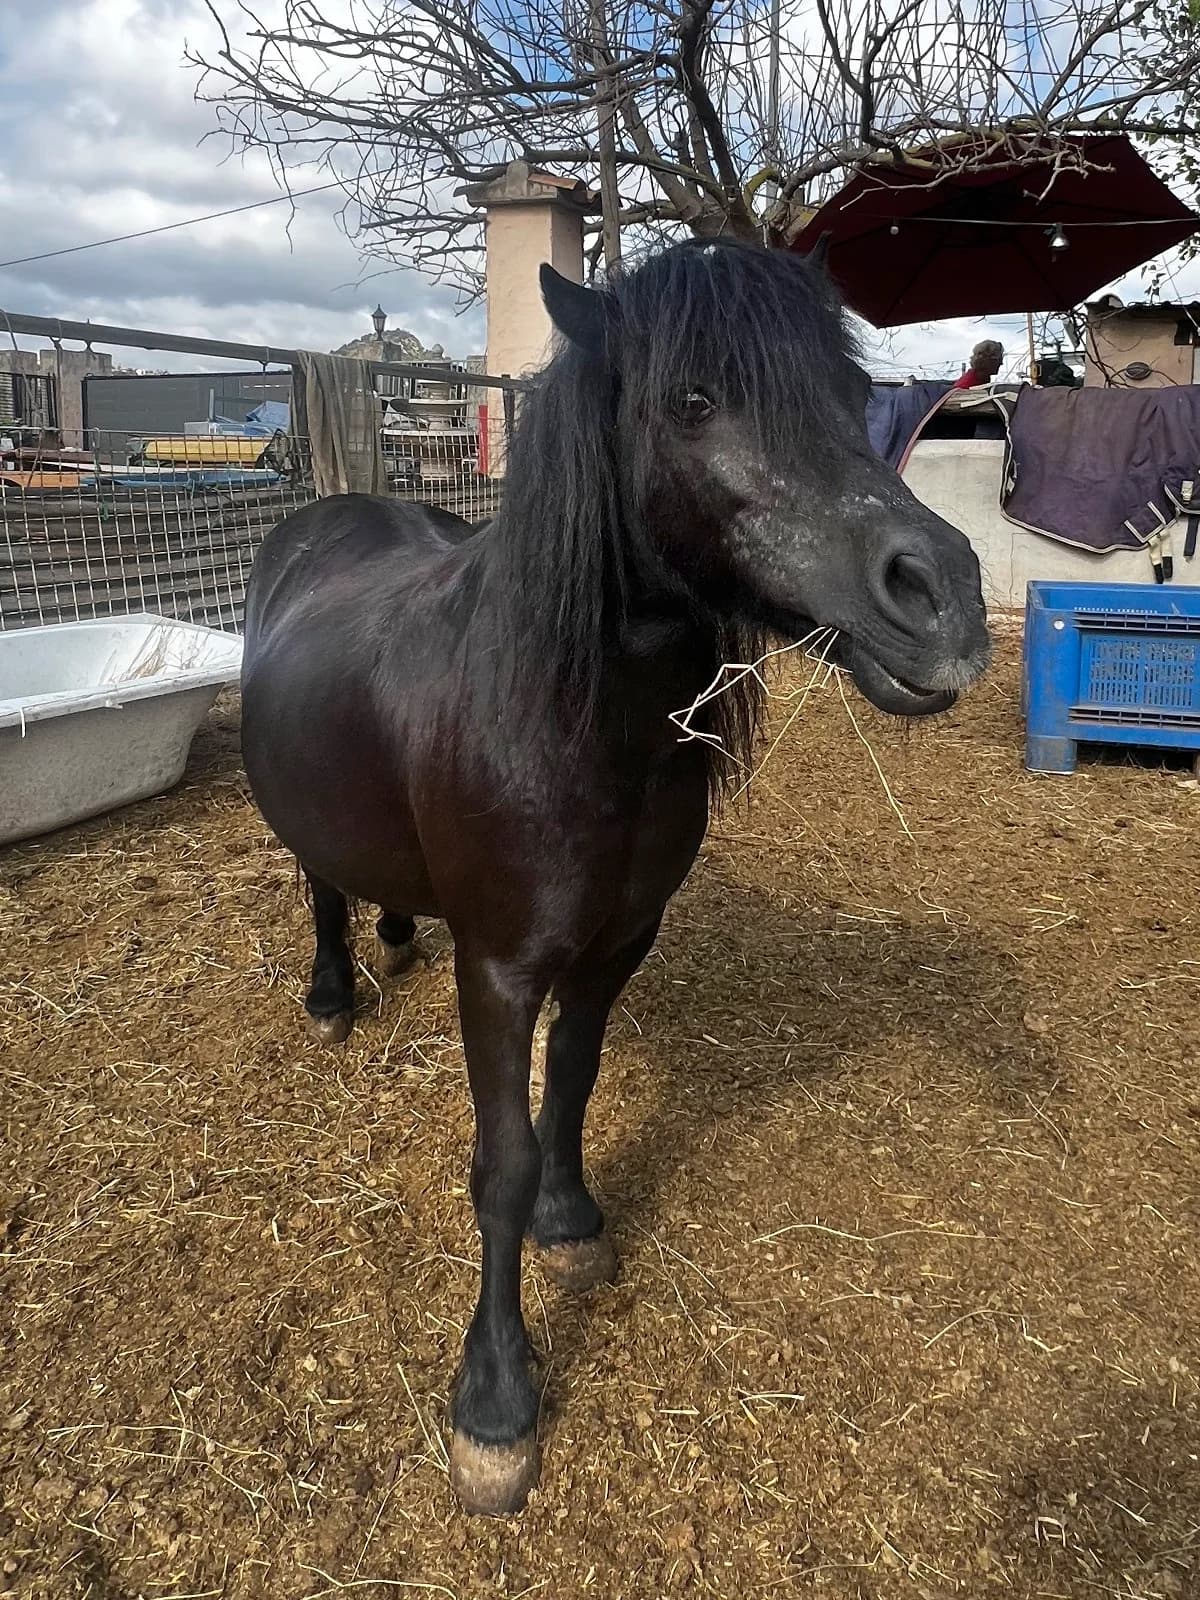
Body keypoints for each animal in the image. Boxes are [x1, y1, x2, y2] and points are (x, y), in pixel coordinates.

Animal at [240, 237, 990, 1516]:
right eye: (692, 400)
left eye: (854, 396)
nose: (946, 597)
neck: (569, 718)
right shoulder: (499, 971)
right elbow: (500, 1162)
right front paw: (495, 1404)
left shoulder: (618, 942)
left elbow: (576, 1089)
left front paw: (574, 1221)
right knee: (317, 881)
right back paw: (335, 989)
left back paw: (394, 929)